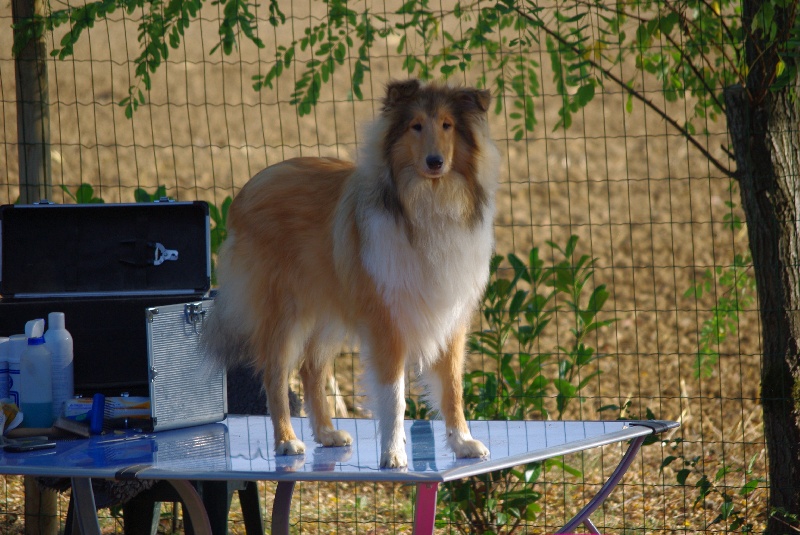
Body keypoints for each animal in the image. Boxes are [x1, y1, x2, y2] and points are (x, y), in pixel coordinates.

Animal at [202, 79, 500, 468]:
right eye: (416, 126)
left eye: (448, 125)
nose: (435, 162)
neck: (427, 200)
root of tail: (250, 187)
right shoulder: (387, 321)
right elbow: (394, 396)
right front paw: (393, 453)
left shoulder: (450, 316)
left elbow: (452, 388)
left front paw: (463, 443)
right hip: (285, 310)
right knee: (275, 372)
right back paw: (287, 440)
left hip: (329, 309)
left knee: (311, 369)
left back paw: (327, 434)